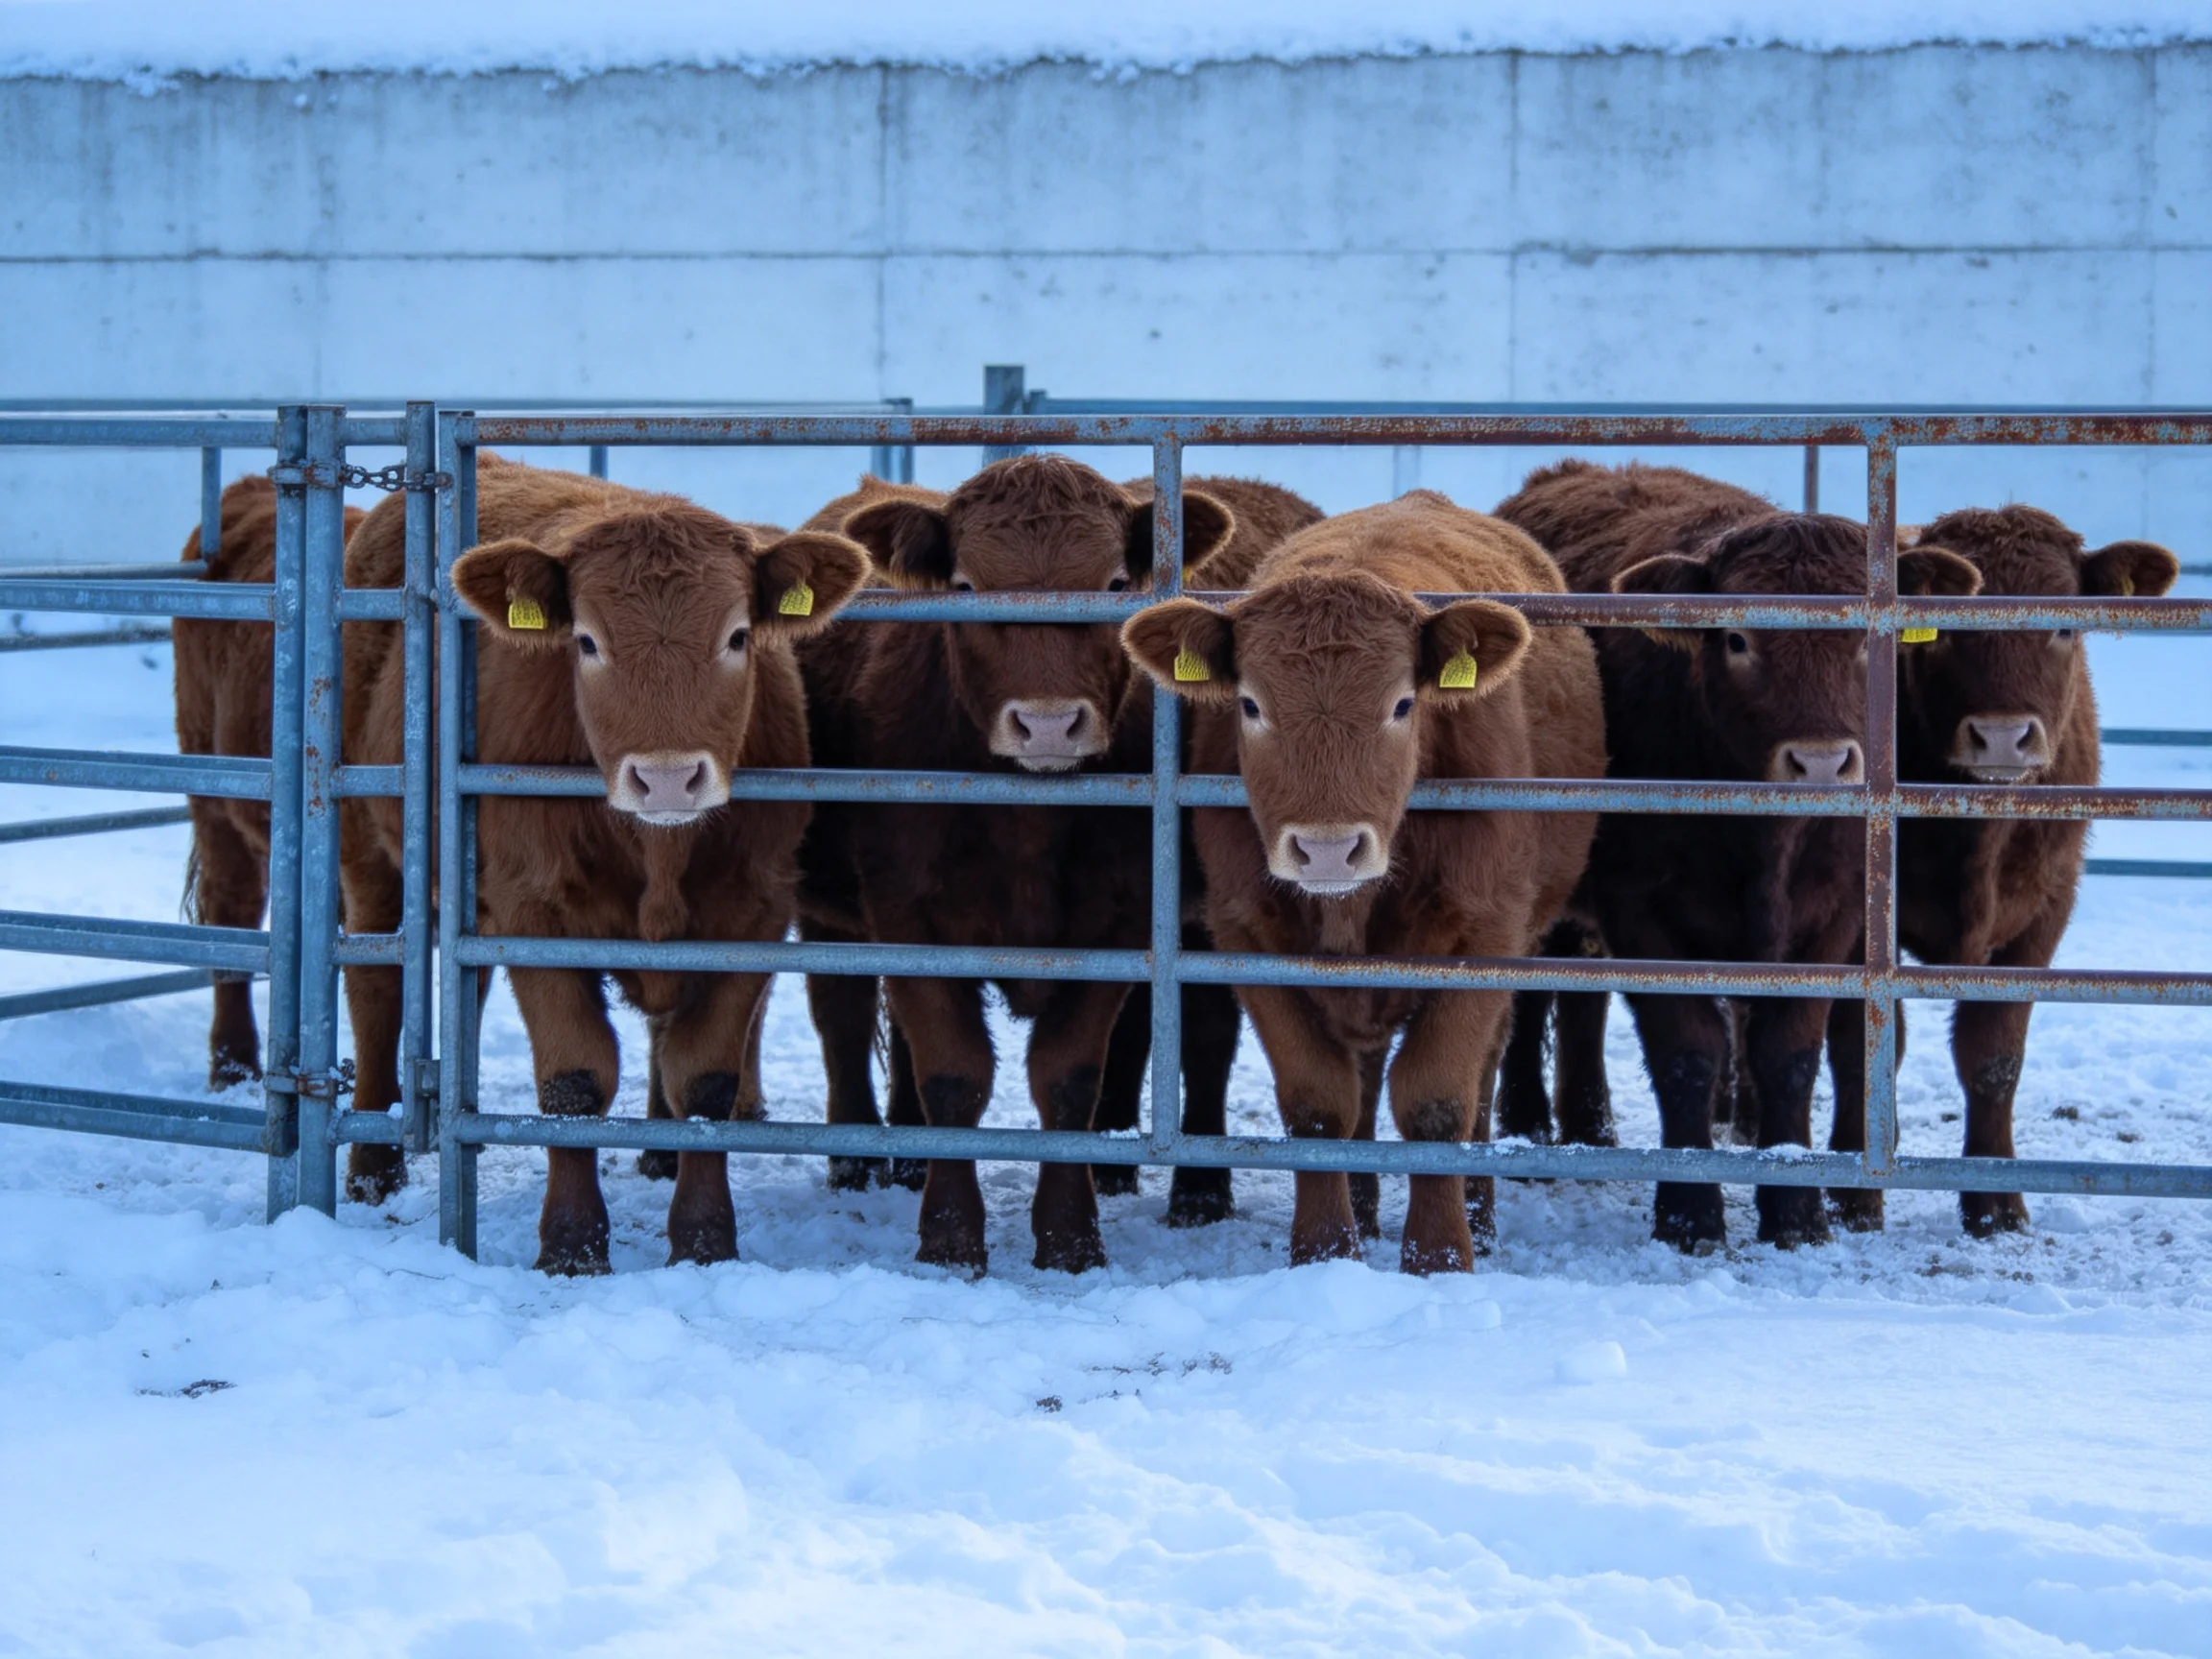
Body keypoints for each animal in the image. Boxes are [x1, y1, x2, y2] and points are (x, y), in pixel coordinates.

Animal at [335, 453, 867, 1270]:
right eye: (585, 641)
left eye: (739, 636)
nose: (669, 778)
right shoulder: (534, 910)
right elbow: (574, 1080)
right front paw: (572, 1245)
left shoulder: (751, 910)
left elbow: (704, 1079)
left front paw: (704, 1239)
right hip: (367, 848)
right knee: (375, 989)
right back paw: (372, 1170)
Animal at [791, 456, 1243, 1275]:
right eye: (968, 586)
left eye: (1114, 584)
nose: (1048, 723)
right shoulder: (908, 916)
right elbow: (952, 1071)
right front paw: (949, 1237)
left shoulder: (1117, 919)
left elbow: (1067, 1078)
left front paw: (1070, 1237)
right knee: (841, 1012)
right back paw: (862, 1157)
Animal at [1124, 489, 1608, 1273]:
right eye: (1251, 704)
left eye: (1402, 705)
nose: (1327, 850)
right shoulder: (1247, 934)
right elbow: (1319, 1102)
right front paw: (1325, 1253)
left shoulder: (1484, 935)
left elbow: (1437, 1102)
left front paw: (1440, 1259)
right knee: (1365, 1070)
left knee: (1479, 1078)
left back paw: (1479, 1218)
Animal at [1490, 460, 1978, 1252]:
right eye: (1738, 639)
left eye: (1863, 637)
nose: (1821, 761)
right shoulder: (1641, 908)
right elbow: (1687, 1051)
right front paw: (1689, 1211)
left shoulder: (1835, 914)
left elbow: (1787, 1055)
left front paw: (1796, 1211)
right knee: (1532, 996)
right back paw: (1530, 1128)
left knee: (1582, 999)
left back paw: (1591, 1128)